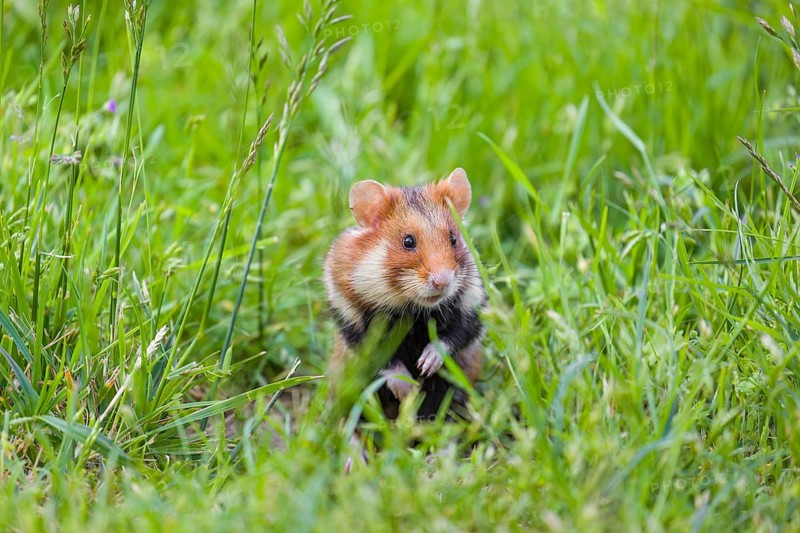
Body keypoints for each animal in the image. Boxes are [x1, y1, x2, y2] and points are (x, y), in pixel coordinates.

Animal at [324, 168, 486, 419]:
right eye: (408, 242)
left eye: (453, 238)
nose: (442, 282)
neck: (411, 306)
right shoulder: (352, 320)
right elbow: (383, 359)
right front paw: (408, 390)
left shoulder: (470, 306)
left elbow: (456, 335)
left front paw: (425, 365)